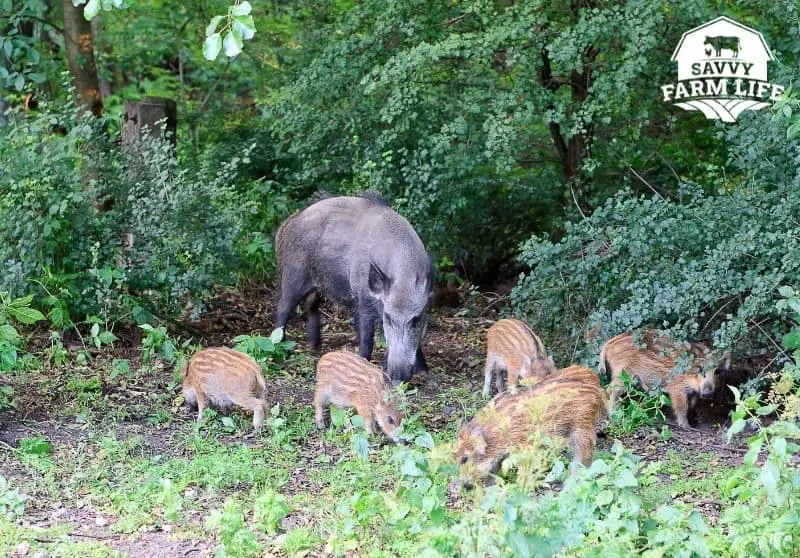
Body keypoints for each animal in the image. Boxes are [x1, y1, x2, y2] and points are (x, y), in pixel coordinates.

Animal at [276, 194, 433, 383]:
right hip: (292, 275)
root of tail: (290, 221)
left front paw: (425, 373)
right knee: (283, 307)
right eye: (388, 318)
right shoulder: (363, 298)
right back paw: (281, 348)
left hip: (318, 285)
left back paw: (315, 348)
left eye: (416, 319)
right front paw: (363, 362)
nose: (398, 377)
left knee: (311, 306)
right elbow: (367, 337)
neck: (403, 281)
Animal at [455, 376, 607, 487]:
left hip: (582, 430)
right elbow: (496, 468)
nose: (465, 486)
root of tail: (598, 392)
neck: (494, 431)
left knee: (584, 458)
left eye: (464, 459)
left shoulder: (526, 447)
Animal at [600, 330, 731, 429]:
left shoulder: (693, 392)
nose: (708, 394)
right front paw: (686, 426)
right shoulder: (676, 387)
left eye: (717, 371)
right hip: (623, 373)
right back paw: (615, 415)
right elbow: (681, 407)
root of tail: (608, 343)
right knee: (610, 391)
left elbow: (692, 404)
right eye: (700, 368)